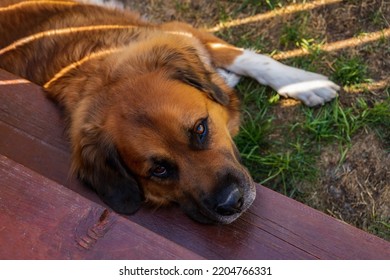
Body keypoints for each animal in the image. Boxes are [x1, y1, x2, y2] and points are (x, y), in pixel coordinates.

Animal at [0, 0, 338, 223]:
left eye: (200, 129)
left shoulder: (179, 31)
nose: (232, 203)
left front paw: (304, 83)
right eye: (159, 170)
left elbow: (249, 59)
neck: (100, 69)